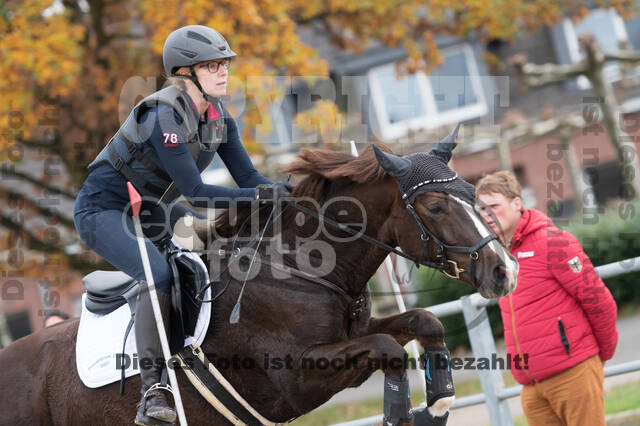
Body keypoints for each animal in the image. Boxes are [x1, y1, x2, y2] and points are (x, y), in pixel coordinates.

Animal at [0, 136, 516, 422]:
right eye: (436, 206)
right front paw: (403, 413)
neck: (297, 267)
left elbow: (425, 322)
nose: (504, 271)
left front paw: (440, 402)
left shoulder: (352, 332)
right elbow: (389, 350)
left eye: (472, 192)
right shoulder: (297, 378)